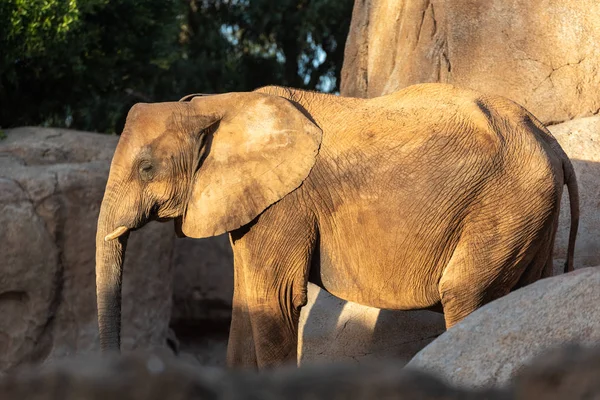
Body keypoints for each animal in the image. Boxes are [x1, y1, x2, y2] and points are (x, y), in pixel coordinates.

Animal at [96, 83, 580, 370]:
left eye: (146, 168)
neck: (218, 104)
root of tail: (553, 142)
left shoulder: (285, 203)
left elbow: (274, 299)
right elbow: (245, 303)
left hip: (505, 206)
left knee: (465, 293)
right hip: (529, 212)